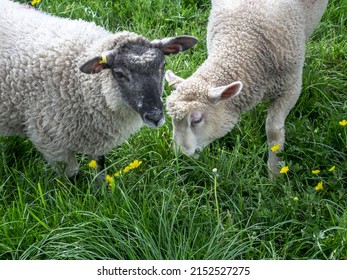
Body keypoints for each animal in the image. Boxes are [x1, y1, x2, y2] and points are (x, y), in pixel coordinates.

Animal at [0, 0, 198, 177]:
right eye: (119, 73)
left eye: (163, 65)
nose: (155, 117)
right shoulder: (50, 143)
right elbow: (71, 177)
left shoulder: (97, 137)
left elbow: (100, 167)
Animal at [166, 0, 328, 175]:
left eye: (196, 120)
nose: (181, 155)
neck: (243, 36)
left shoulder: (291, 87)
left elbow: (273, 131)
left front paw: (274, 172)